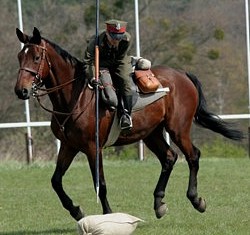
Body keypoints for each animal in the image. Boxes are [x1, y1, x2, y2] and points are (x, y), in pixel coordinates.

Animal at [14, 27, 243, 220]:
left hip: (178, 129)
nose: (20, 90)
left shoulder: (93, 148)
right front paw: (76, 211)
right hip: (151, 133)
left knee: (193, 156)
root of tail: (182, 74)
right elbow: (56, 181)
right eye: (19, 57)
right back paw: (159, 203)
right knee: (169, 158)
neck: (75, 97)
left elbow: (100, 184)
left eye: (36, 57)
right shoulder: (69, 146)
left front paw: (108, 215)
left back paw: (196, 199)